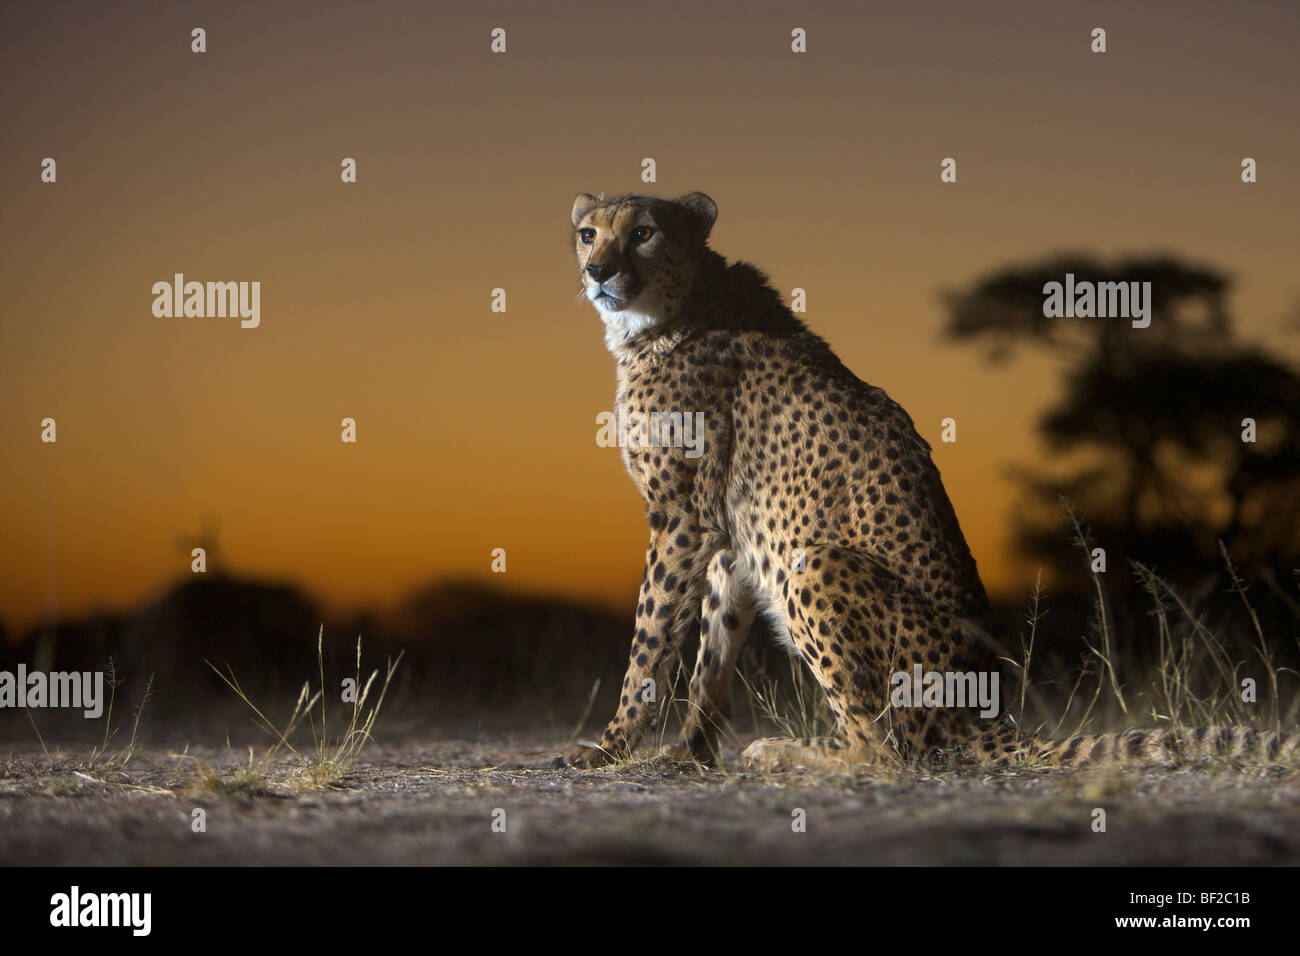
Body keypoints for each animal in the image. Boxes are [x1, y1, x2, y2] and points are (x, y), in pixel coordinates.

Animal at [556, 191, 1289, 775]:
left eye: (644, 231)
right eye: (588, 233)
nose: (598, 271)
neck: (672, 309)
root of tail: (993, 717)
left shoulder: (681, 518)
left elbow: (649, 641)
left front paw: (609, 748)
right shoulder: (724, 534)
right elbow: (712, 649)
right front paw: (689, 753)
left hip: (816, 562)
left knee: (885, 750)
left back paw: (783, 755)